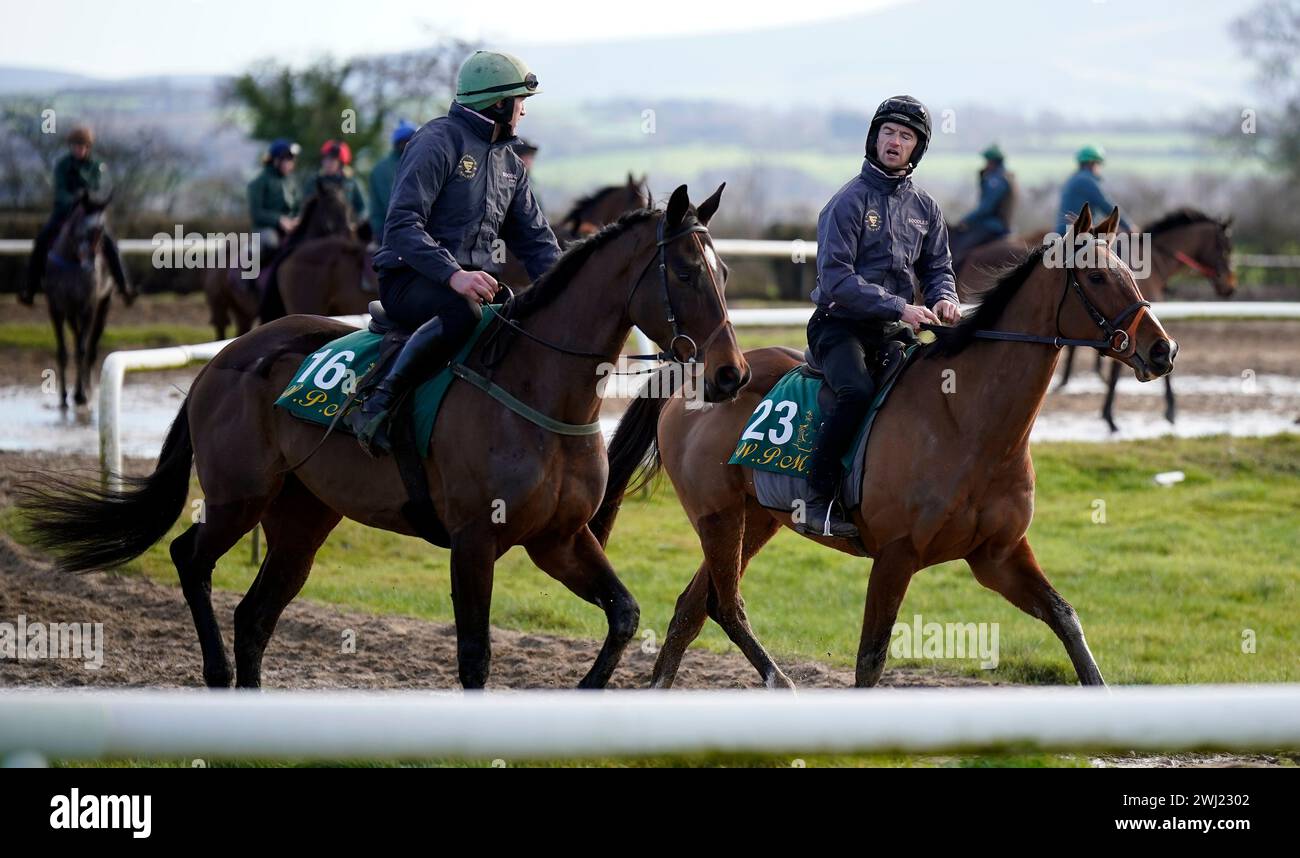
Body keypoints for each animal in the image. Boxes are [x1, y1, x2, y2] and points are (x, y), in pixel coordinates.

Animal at [20, 185, 748, 691]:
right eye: (687, 273)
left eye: (726, 275)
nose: (731, 373)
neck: (538, 388)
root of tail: (224, 358)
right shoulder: (474, 541)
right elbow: (475, 657)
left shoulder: (558, 538)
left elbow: (623, 615)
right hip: (238, 497)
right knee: (189, 559)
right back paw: (217, 672)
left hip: (303, 515)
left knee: (255, 614)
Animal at [595, 202, 1180, 691]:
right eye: (1099, 276)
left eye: (1132, 271)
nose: (1163, 349)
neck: (969, 424)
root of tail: (695, 373)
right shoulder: (896, 556)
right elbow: (870, 661)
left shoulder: (998, 555)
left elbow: (1066, 618)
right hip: (716, 515)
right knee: (725, 605)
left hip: (755, 516)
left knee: (693, 610)